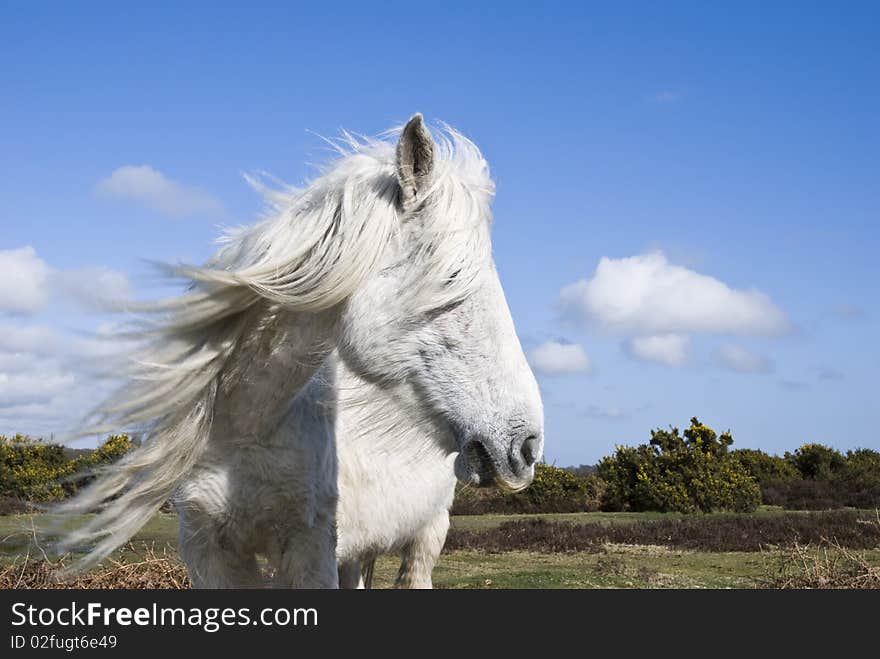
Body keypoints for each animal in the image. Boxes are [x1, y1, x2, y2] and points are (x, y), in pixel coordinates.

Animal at [58, 114, 540, 588]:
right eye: (454, 276)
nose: (527, 446)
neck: (244, 427)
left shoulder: (311, 546)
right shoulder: (209, 549)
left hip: (426, 536)